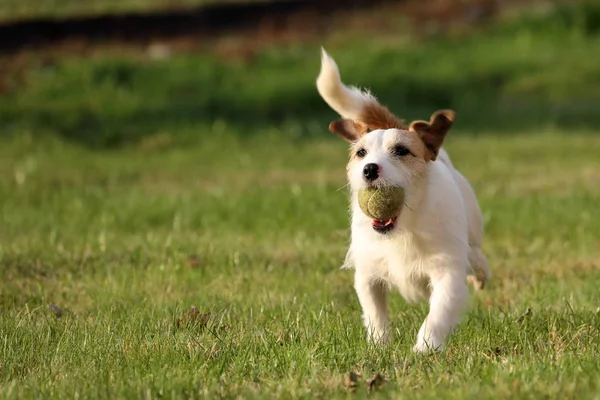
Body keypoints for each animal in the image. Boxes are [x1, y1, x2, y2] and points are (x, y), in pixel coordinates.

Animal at [316, 48, 490, 352]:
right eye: (360, 153)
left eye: (401, 151)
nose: (369, 169)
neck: (404, 228)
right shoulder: (368, 272)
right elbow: (374, 311)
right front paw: (380, 345)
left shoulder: (446, 271)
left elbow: (438, 312)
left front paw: (425, 349)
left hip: (473, 222)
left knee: (476, 252)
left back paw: (480, 271)